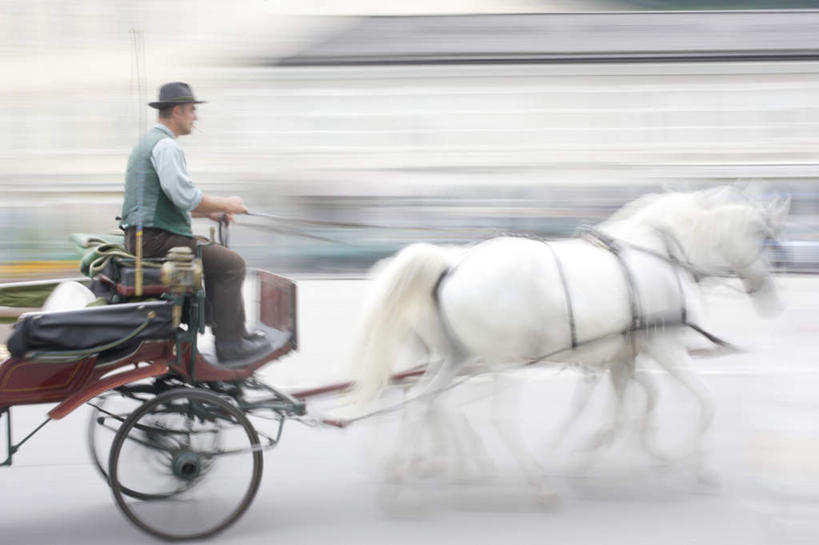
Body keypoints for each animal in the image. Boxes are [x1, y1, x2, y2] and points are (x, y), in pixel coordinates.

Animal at [350, 185, 788, 482]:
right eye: (763, 237)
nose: (770, 293)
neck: (661, 253)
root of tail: (451, 264)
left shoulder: (620, 354)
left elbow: (627, 404)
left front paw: (605, 449)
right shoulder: (664, 347)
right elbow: (703, 401)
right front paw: (689, 460)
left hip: (455, 356)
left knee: (423, 400)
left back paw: (410, 468)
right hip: (500, 361)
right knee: (488, 415)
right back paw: (528, 478)